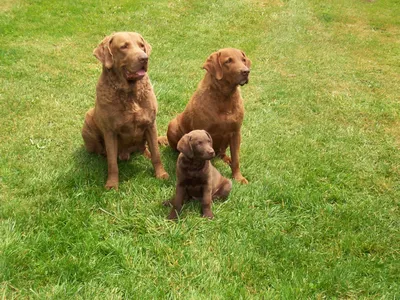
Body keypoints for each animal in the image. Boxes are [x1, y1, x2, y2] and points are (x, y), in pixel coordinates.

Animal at [81, 31, 169, 190]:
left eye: (141, 45)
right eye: (124, 47)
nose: (144, 58)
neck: (130, 93)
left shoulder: (150, 124)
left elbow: (156, 154)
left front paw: (161, 174)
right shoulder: (110, 131)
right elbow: (112, 163)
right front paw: (112, 184)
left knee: (145, 148)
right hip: (88, 120)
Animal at [165, 47, 252, 183]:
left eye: (243, 60)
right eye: (228, 61)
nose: (246, 71)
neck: (224, 97)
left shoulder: (236, 132)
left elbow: (236, 159)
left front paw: (238, 177)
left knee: (223, 154)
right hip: (172, 125)